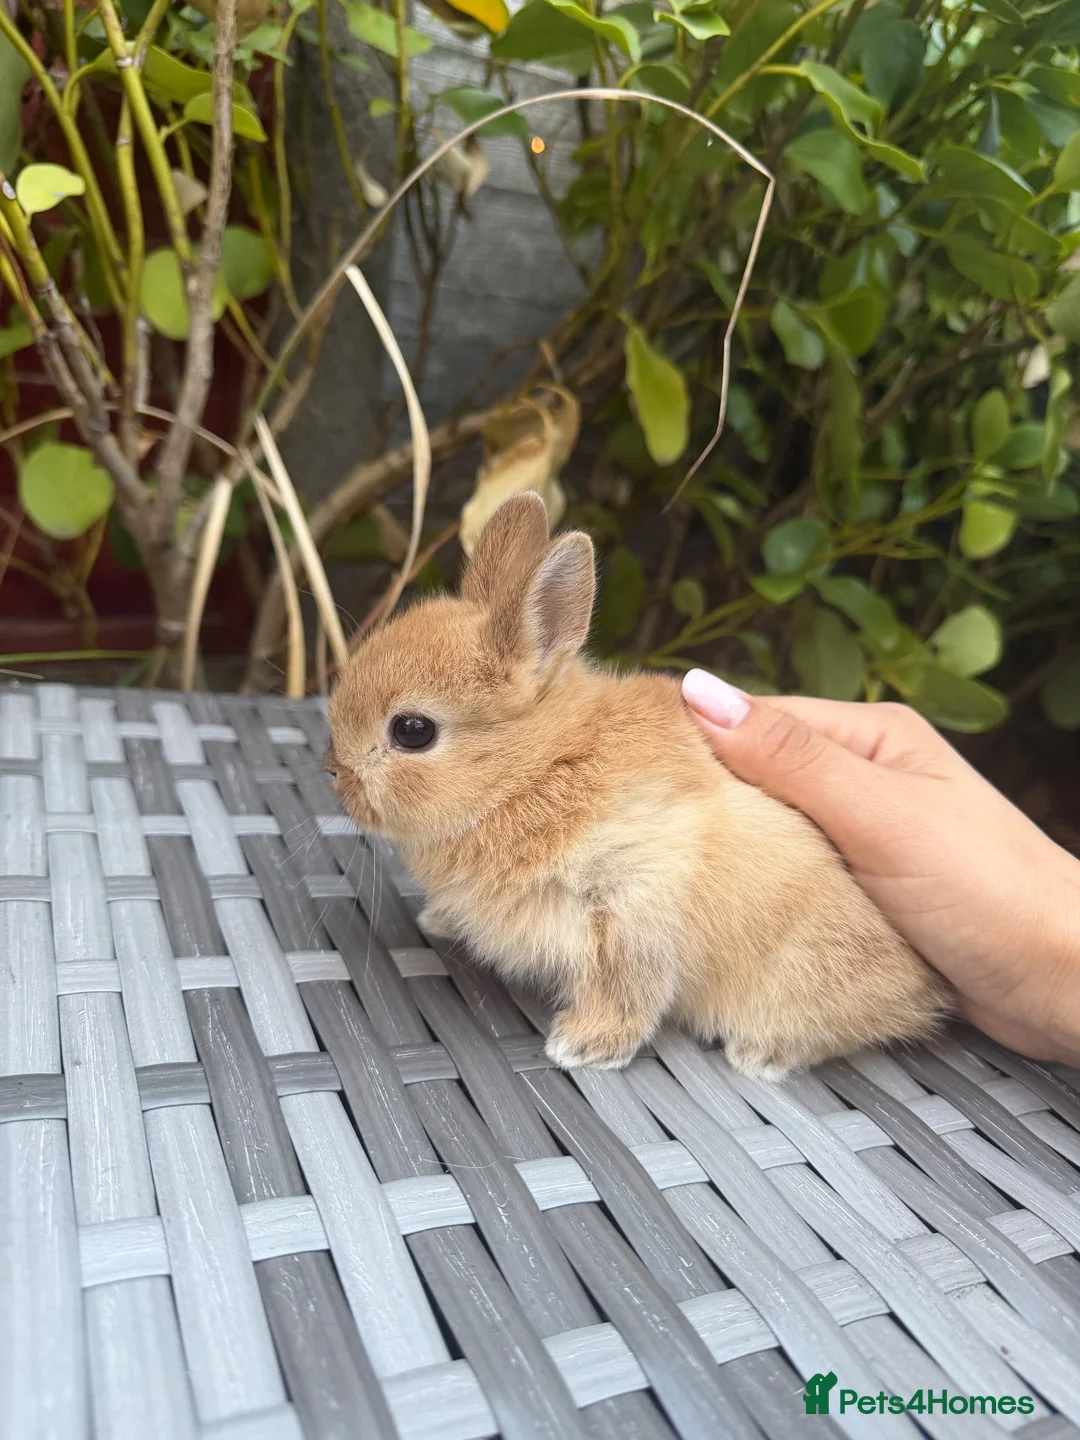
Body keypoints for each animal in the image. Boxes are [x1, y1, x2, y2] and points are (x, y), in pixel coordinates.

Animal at [326, 491, 951, 1078]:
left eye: (412, 731)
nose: (334, 774)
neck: (535, 766)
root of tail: (920, 983)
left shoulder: (635, 901)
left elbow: (629, 987)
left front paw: (582, 1047)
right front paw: (438, 921)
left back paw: (761, 1055)